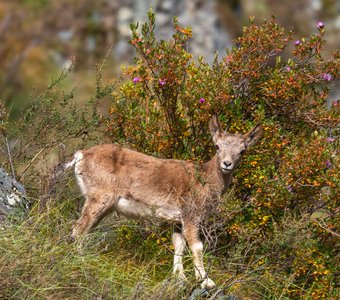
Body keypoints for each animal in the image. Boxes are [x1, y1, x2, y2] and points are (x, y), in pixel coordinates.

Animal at [65, 116, 262, 290]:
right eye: (217, 146)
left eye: (242, 151)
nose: (227, 164)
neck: (205, 180)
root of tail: (81, 155)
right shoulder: (191, 215)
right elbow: (196, 246)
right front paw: (207, 282)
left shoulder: (177, 221)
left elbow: (179, 245)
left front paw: (180, 278)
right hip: (99, 200)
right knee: (78, 230)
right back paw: (83, 265)